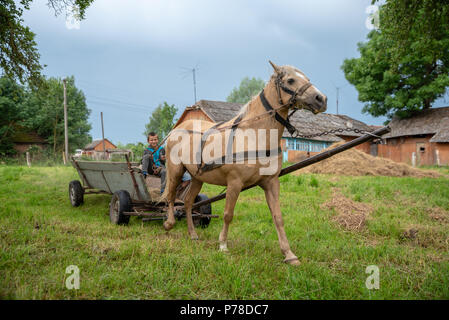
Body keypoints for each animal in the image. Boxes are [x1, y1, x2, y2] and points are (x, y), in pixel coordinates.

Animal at [161, 60, 326, 264]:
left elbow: (278, 217)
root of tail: (177, 129)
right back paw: (169, 223)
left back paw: (193, 234)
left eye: (307, 78)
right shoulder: (234, 183)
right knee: (170, 196)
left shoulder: (271, 183)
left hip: (197, 177)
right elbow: (227, 215)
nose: (321, 99)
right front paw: (223, 245)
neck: (254, 135)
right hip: (175, 170)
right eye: (290, 80)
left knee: (188, 202)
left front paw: (289, 254)